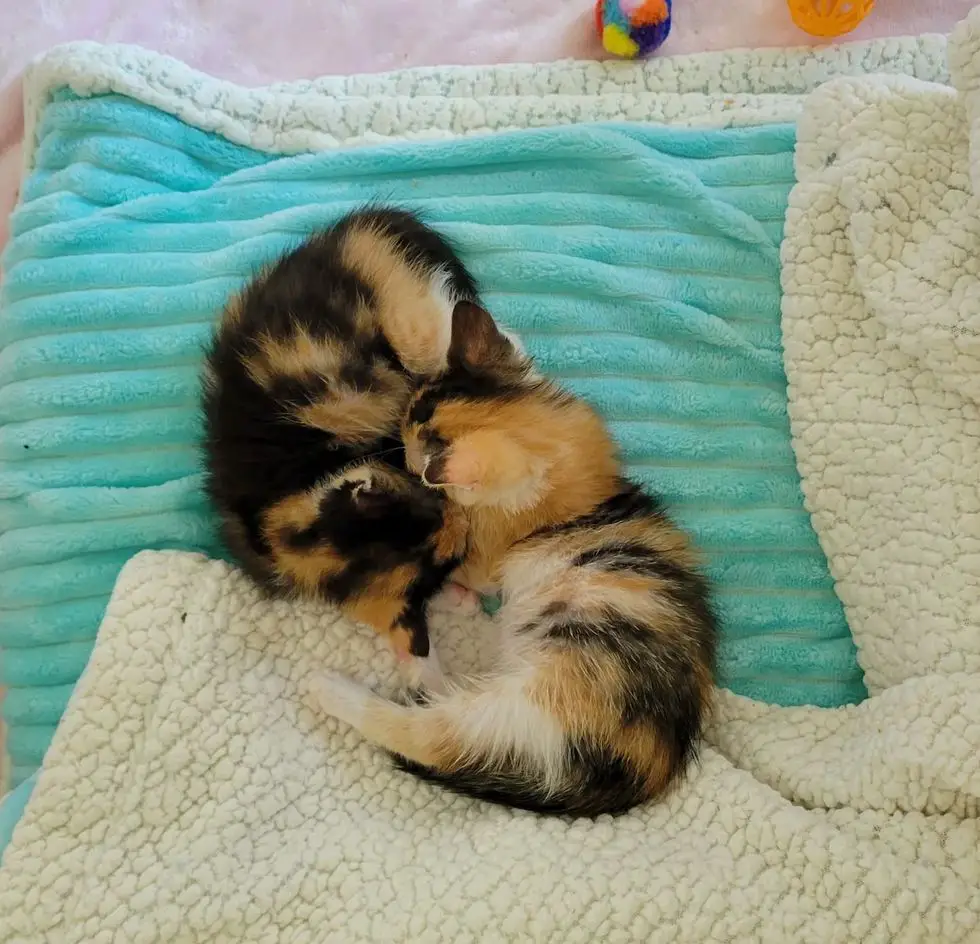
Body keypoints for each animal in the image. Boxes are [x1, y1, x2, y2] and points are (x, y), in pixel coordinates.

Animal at [202, 210, 482, 688]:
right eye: (451, 557)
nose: (460, 517)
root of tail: (353, 232)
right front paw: (455, 604)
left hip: (393, 318)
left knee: (435, 326)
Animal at [314, 304, 720, 820]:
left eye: (410, 452)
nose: (406, 462)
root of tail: (645, 774)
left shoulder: (492, 548)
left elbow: (456, 552)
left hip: (534, 707)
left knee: (432, 737)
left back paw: (336, 687)